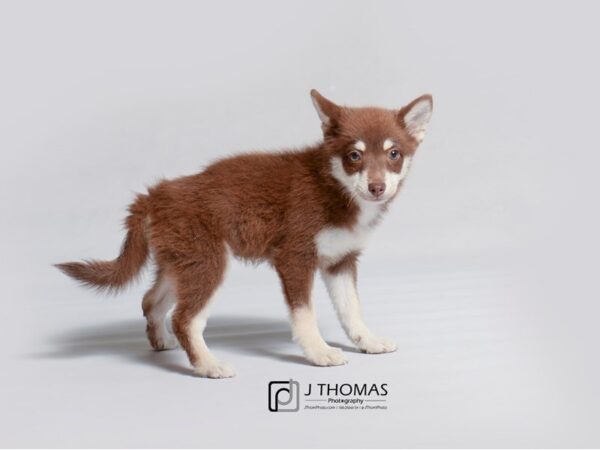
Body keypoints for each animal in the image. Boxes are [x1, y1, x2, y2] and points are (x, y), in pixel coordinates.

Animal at [56, 89, 432, 378]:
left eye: (394, 154)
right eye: (354, 155)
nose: (376, 187)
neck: (333, 185)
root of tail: (155, 195)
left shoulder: (341, 261)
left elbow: (352, 309)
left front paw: (368, 341)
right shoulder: (295, 258)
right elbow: (305, 316)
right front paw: (318, 352)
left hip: (181, 263)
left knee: (151, 301)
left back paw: (161, 341)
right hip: (209, 264)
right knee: (185, 319)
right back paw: (208, 365)